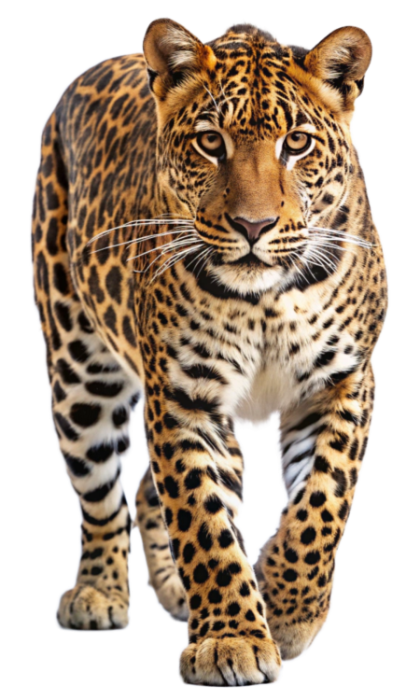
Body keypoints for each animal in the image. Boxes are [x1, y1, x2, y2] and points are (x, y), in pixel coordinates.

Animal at [29, 16, 389, 687]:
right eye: (209, 142)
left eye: (296, 143)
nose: (253, 226)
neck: (268, 298)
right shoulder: (183, 396)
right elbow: (202, 518)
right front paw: (232, 637)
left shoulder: (342, 382)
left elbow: (321, 505)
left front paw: (286, 609)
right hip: (80, 371)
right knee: (103, 496)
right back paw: (98, 592)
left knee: (152, 489)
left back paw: (178, 591)